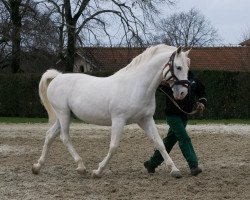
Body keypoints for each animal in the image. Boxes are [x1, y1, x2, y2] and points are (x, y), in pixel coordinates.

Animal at [32, 45, 190, 178]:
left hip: (65, 116)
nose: (182, 93)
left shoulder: (145, 120)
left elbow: (159, 143)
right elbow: (113, 146)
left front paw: (175, 170)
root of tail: (57, 77)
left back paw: (37, 167)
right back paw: (81, 167)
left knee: (50, 135)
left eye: (188, 68)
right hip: (63, 114)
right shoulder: (119, 120)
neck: (136, 86)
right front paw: (98, 171)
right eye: (178, 67)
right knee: (64, 137)